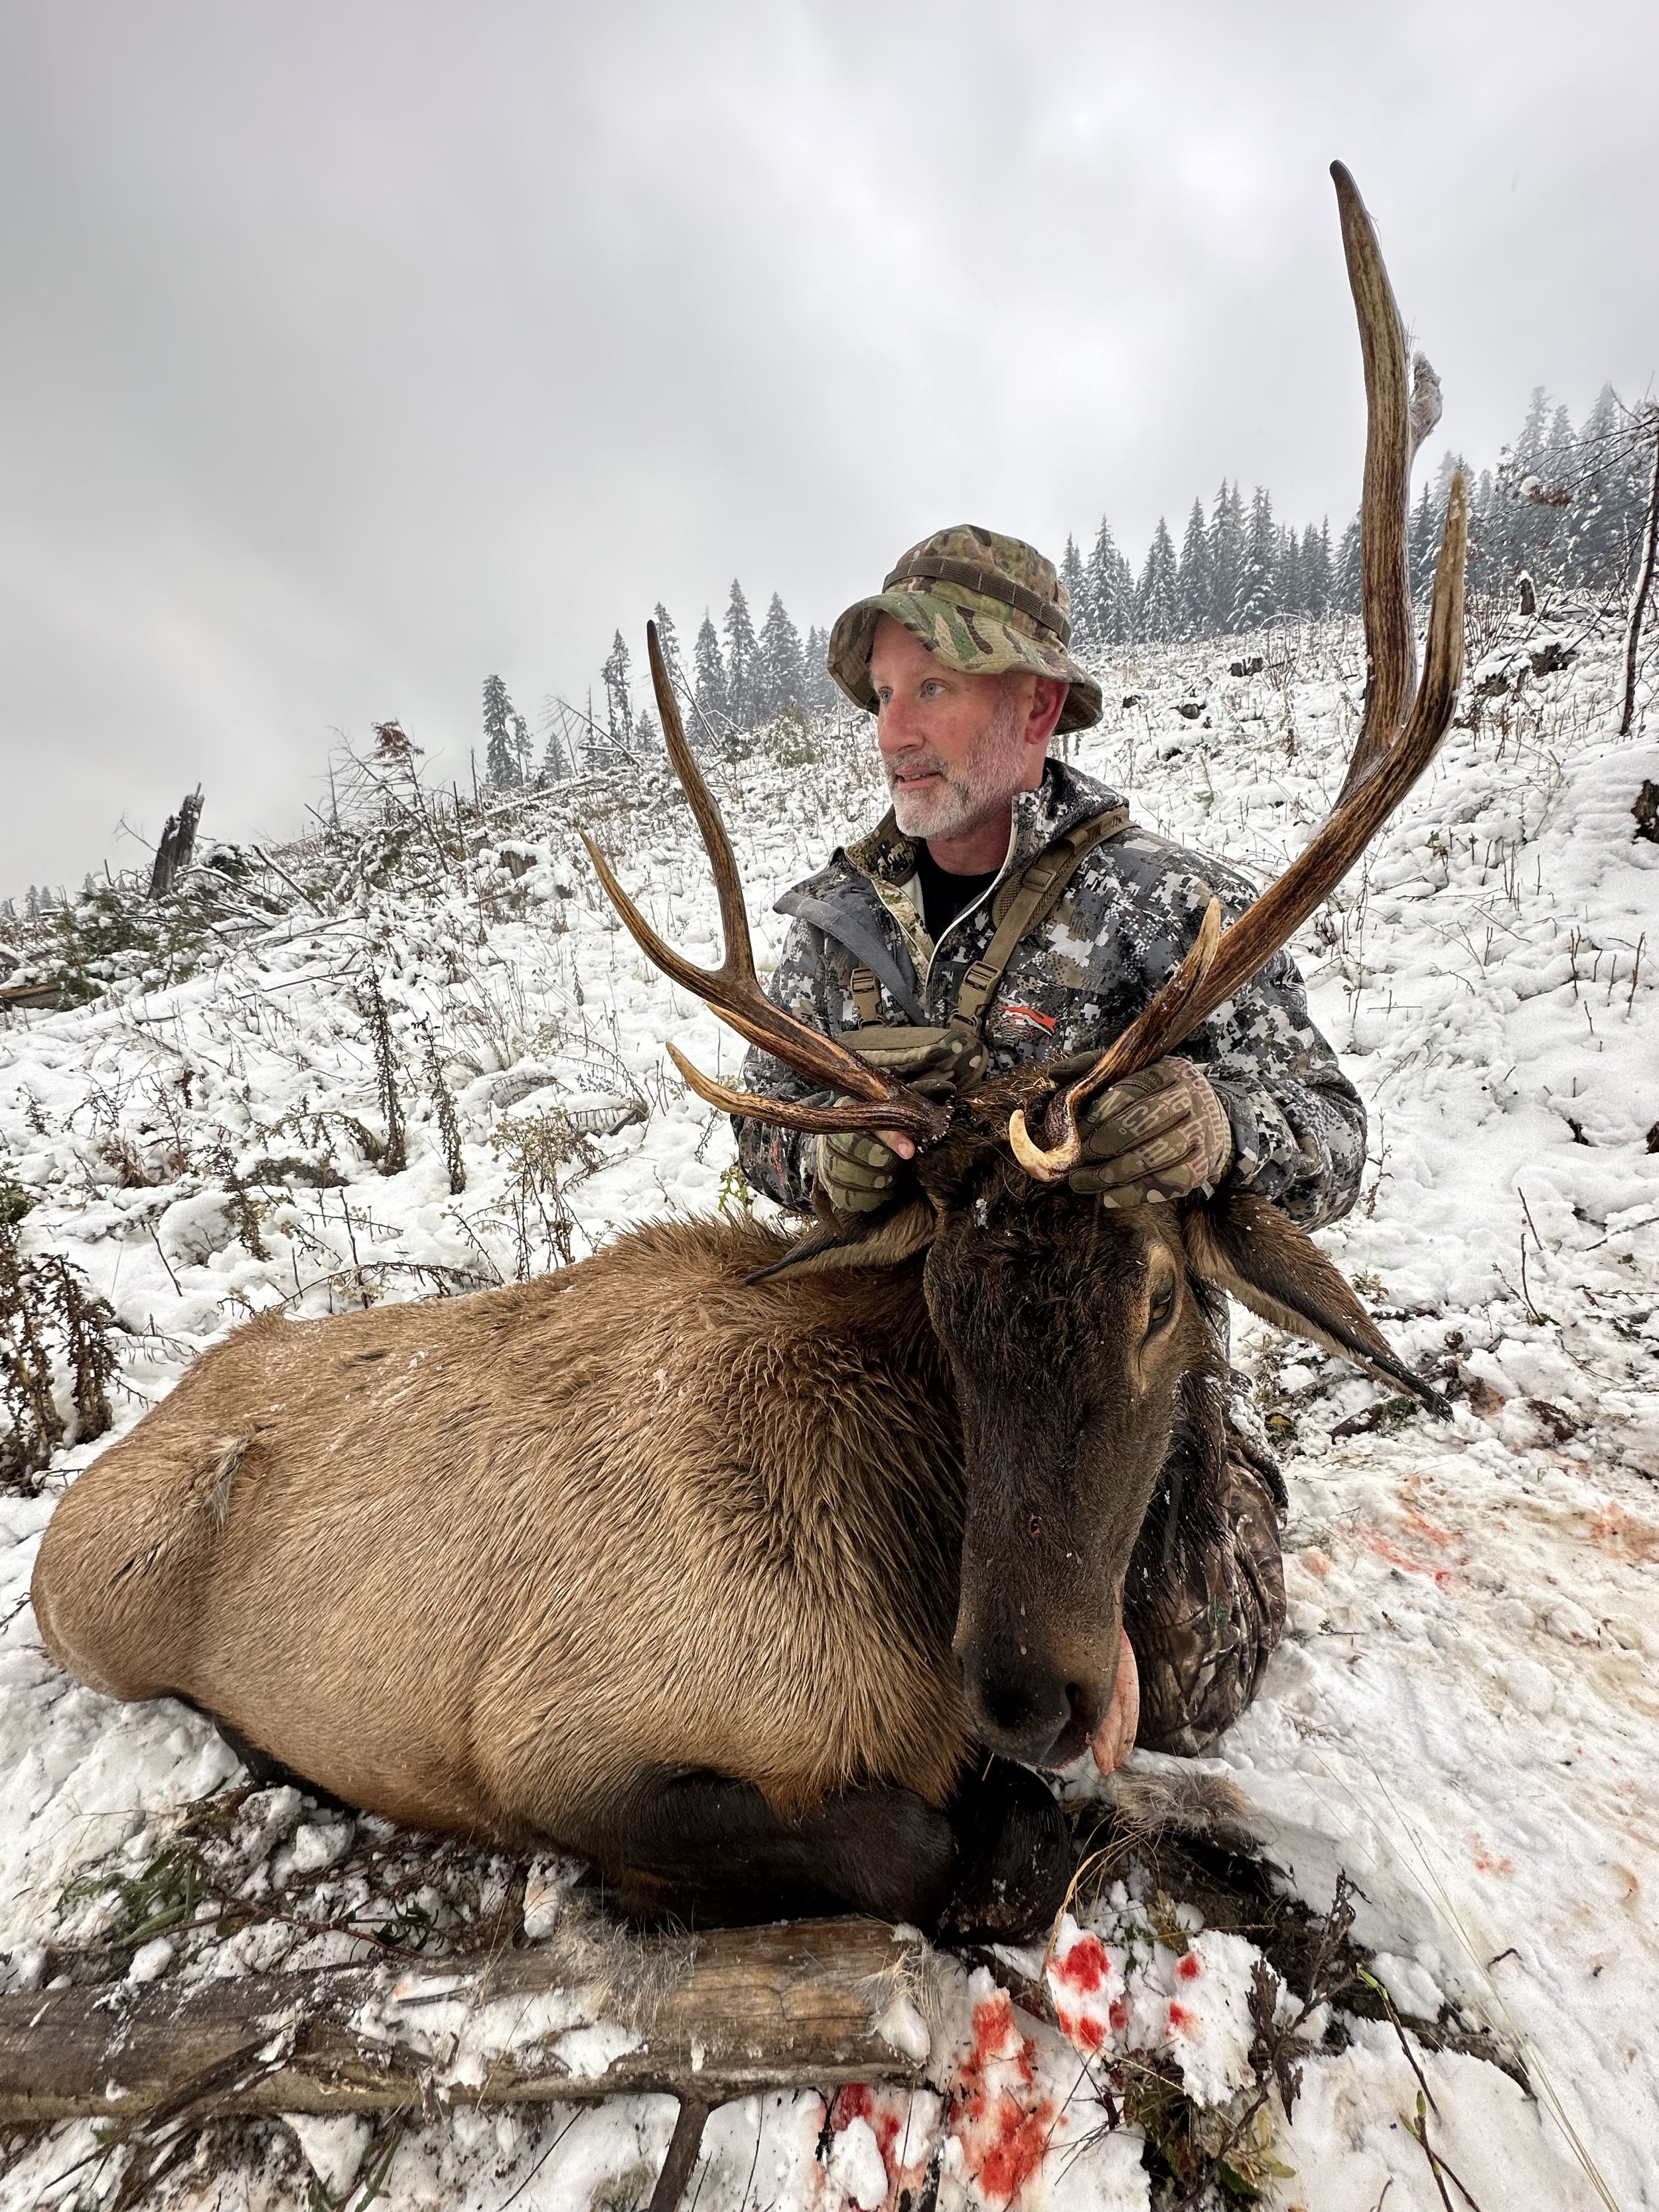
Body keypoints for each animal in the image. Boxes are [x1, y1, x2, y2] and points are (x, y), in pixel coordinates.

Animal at [31, 166, 1465, 1940]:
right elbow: (928, 1847)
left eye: (1159, 1300)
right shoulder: (562, 1739)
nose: (1027, 1694)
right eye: (945, 1308)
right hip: (96, 1605)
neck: (900, 1602)